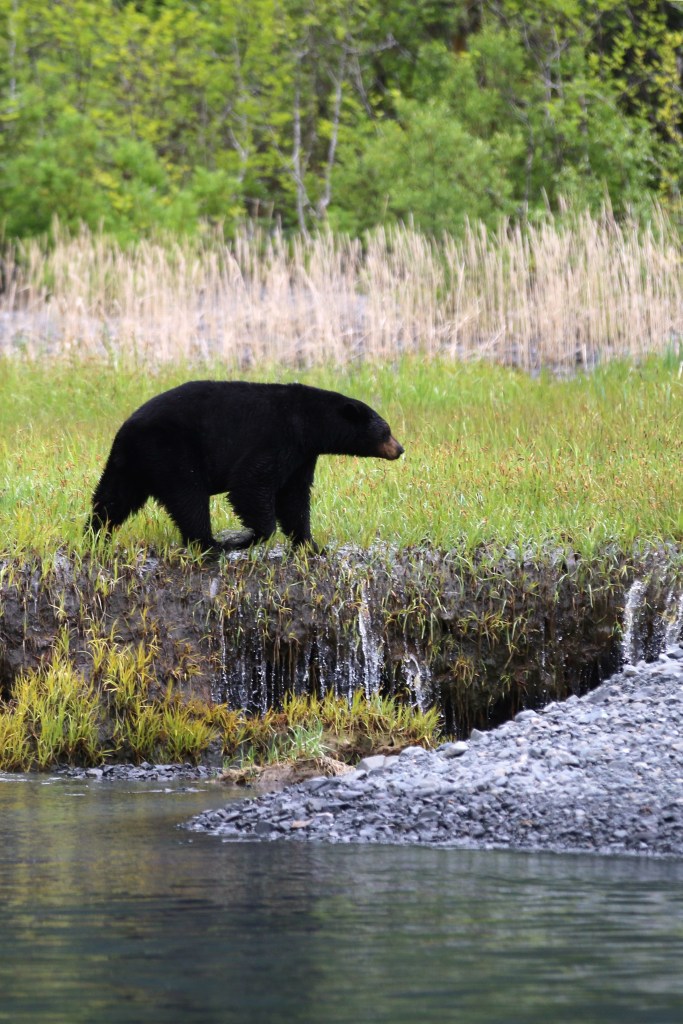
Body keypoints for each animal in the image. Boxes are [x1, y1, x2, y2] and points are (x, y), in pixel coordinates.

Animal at [88, 380, 404, 554]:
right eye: (386, 430)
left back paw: (95, 534)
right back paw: (210, 544)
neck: (308, 421)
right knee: (188, 497)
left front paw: (311, 545)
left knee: (112, 498)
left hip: (131, 463)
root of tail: (128, 428)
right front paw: (244, 537)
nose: (399, 449)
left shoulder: (302, 455)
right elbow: (251, 483)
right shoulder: (278, 436)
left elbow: (294, 497)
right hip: (172, 451)